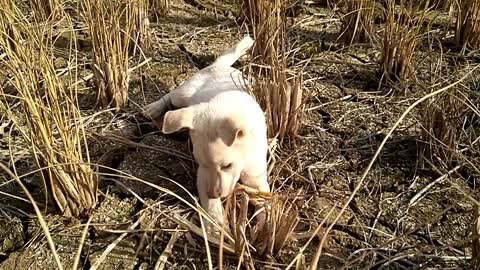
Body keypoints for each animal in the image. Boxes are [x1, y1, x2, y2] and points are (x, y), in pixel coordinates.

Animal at [142, 35, 270, 226]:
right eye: (201, 163)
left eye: (227, 165)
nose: (213, 193)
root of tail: (219, 65)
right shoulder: (202, 175)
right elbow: (211, 206)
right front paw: (215, 226)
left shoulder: (257, 177)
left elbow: (264, 199)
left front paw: (265, 226)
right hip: (183, 96)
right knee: (171, 96)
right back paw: (153, 109)